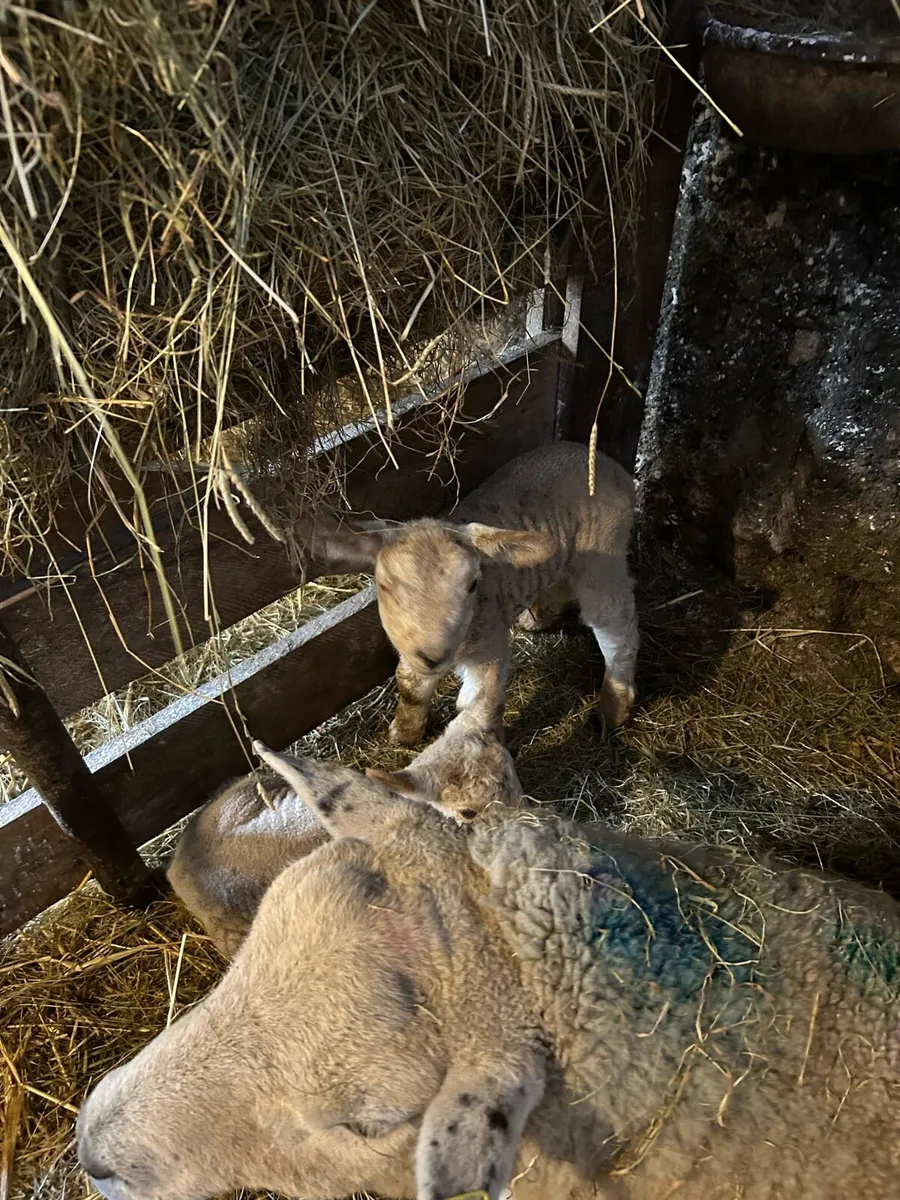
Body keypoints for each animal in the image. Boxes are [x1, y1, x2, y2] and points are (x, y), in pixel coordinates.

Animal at [303, 440, 638, 746]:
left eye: (472, 585)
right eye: (384, 586)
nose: (433, 656)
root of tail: (606, 462)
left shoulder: (489, 647)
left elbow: (479, 707)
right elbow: (409, 684)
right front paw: (405, 732)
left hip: (604, 558)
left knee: (619, 632)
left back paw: (613, 709)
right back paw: (537, 618)